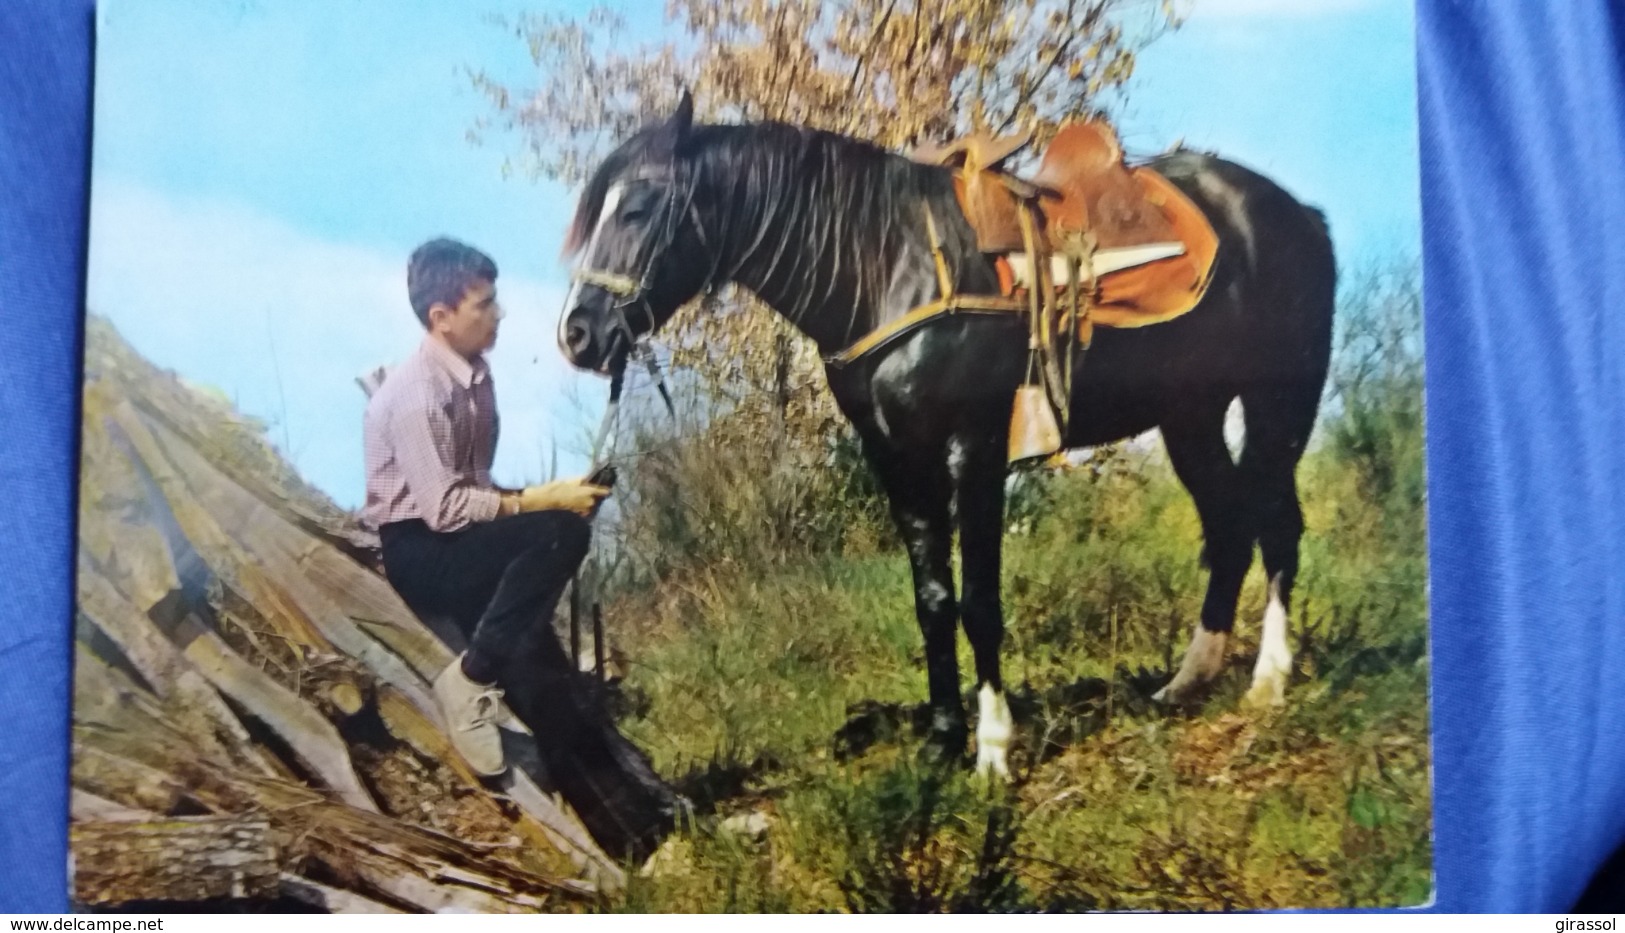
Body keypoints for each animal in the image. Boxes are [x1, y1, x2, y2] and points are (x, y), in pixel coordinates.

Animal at [555, 96, 1332, 783]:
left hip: (1276, 406)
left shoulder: (974, 446)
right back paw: (1187, 681)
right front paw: (941, 741)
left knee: (1277, 526)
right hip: (1189, 415)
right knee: (1229, 526)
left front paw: (992, 748)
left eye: (637, 208)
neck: (889, 266)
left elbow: (979, 602)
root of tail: (1299, 213)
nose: (578, 333)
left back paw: (1267, 682)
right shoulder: (897, 457)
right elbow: (932, 599)